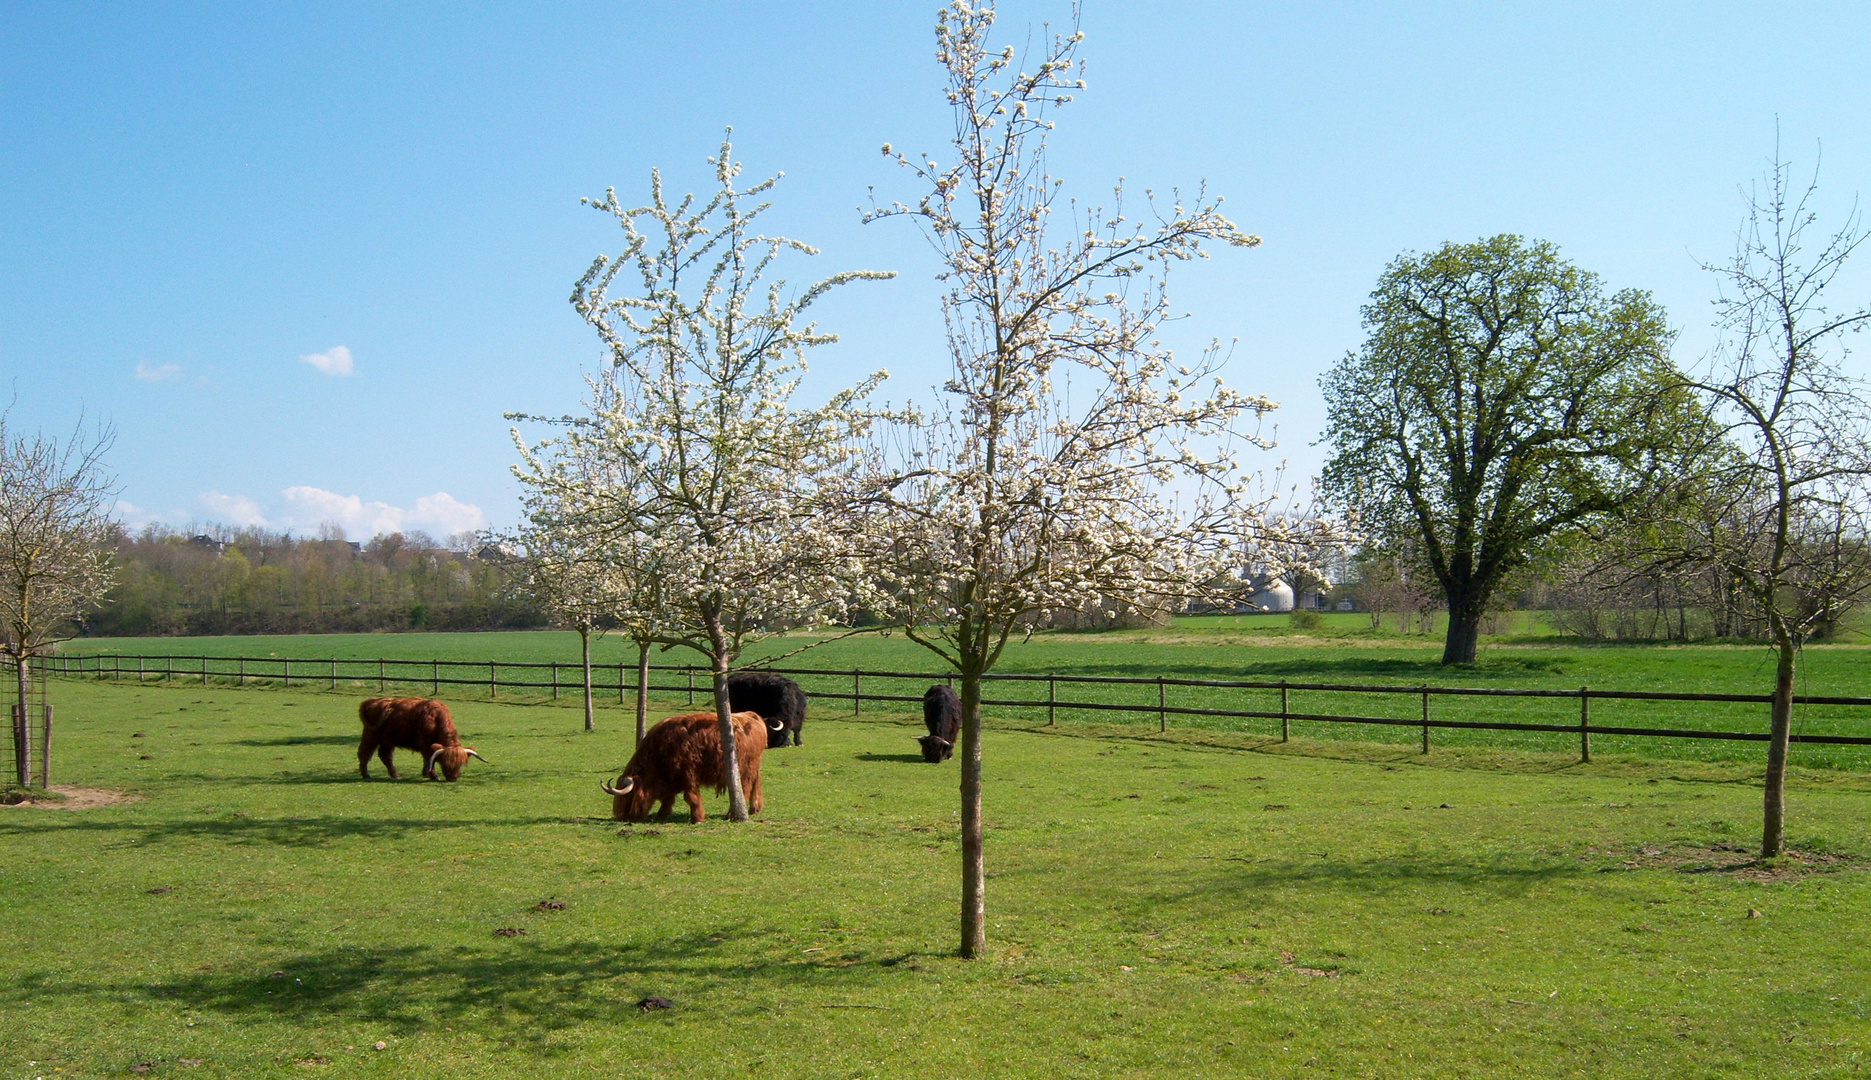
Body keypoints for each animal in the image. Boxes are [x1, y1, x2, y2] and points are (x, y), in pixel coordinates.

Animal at [351, 696, 482, 778]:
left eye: (460, 764)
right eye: (445, 763)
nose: (452, 778)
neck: (436, 718)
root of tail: (370, 701)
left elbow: (428, 759)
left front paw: (426, 773)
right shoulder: (426, 744)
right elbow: (429, 758)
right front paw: (433, 775)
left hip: (388, 740)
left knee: (385, 756)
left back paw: (395, 775)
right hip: (371, 735)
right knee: (364, 752)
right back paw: (366, 774)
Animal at [594, 711, 778, 819]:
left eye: (628, 797)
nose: (623, 817)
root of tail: (751, 715)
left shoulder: (688, 774)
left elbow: (690, 797)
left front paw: (697, 818)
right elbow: (668, 798)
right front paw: (662, 814)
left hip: (745, 770)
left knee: (745, 789)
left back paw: (732, 814)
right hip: (754, 768)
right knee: (756, 786)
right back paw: (754, 809)